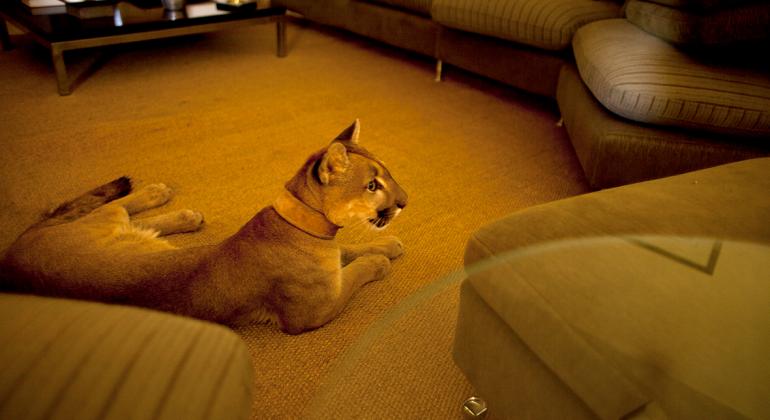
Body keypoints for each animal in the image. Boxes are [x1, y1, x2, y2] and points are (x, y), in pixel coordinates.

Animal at [0, 120, 404, 334]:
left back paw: (182, 213)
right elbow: (354, 272)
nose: (405, 201)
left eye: (388, 173)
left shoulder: (331, 251)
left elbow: (349, 250)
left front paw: (389, 246)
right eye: (373, 185)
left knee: (132, 219)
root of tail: (13, 252)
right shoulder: (314, 312)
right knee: (117, 207)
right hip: (101, 222)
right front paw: (380, 262)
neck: (303, 224)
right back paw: (158, 193)